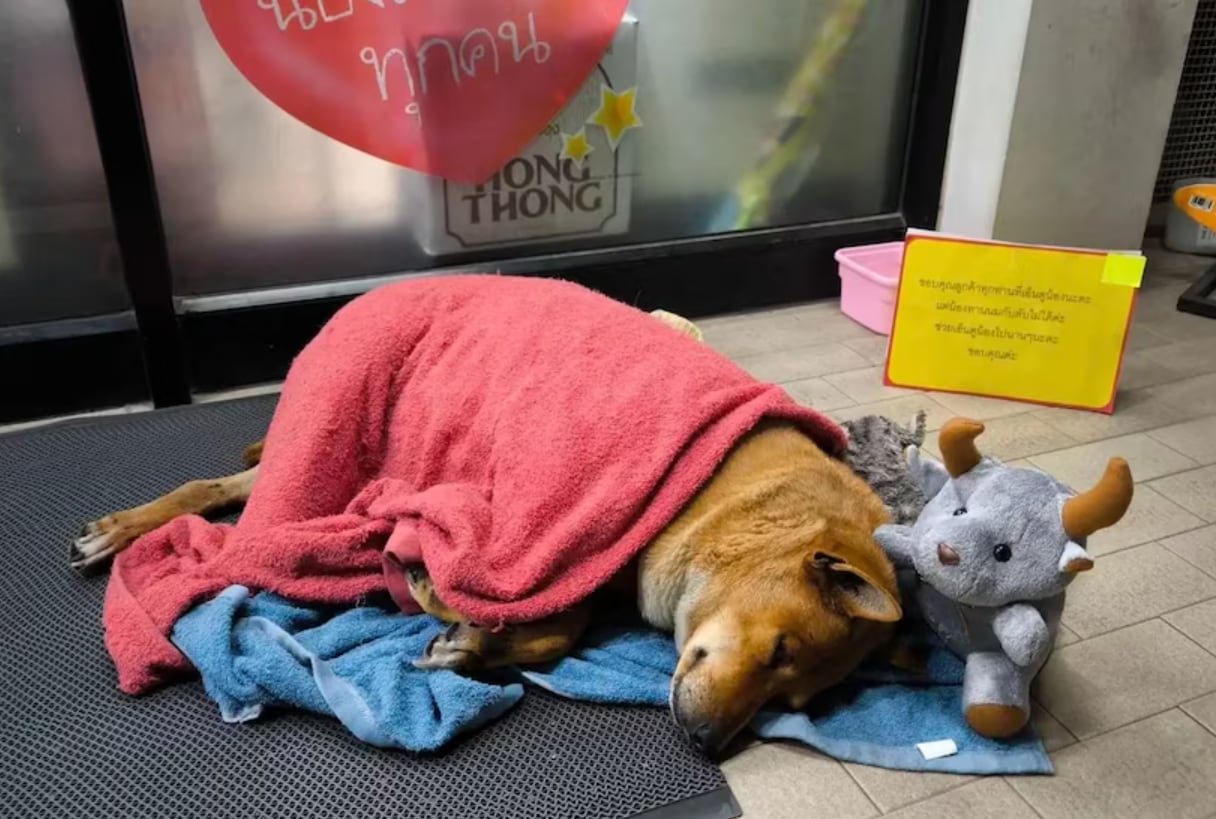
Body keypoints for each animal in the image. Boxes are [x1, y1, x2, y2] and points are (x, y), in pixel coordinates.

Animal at [71, 279, 899, 753]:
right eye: (779, 649)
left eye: (791, 699)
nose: (703, 743)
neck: (733, 499)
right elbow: (527, 604)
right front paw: (438, 597)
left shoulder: (599, 556)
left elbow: (557, 624)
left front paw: (474, 643)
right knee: (220, 489)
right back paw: (119, 531)